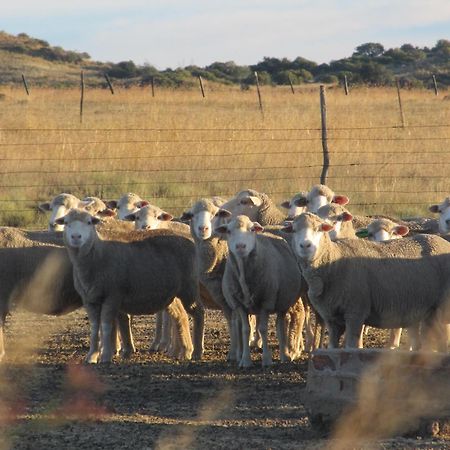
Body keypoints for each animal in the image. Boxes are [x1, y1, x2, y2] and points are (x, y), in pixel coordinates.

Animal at [57, 209, 205, 364]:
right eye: (66, 223)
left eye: (89, 222)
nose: (76, 237)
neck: (97, 253)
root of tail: (189, 241)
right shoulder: (89, 299)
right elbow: (94, 326)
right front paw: (92, 355)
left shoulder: (112, 296)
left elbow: (106, 325)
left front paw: (106, 356)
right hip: (172, 293)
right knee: (180, 315)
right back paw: (184, 352)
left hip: (189, 286)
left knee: (198, 312)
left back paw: (197, 352)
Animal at [215, 216, 306, 368]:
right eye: (228, 231)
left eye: (252, 229)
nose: (240, 246)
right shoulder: (239, 305)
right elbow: (246, 330)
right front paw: (245, 361)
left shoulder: (266, 301)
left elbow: (263, 329)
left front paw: (267, 359)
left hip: (282, 301)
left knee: (280, 326)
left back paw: (285, 355)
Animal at [284, 213, 450, 350]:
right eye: (294, 230)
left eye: (319, 229)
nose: (305, 245)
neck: (333, 261)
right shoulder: (331, 318)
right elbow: (332, 347)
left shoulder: (355, 312)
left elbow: (351, 347)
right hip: (429, 311)